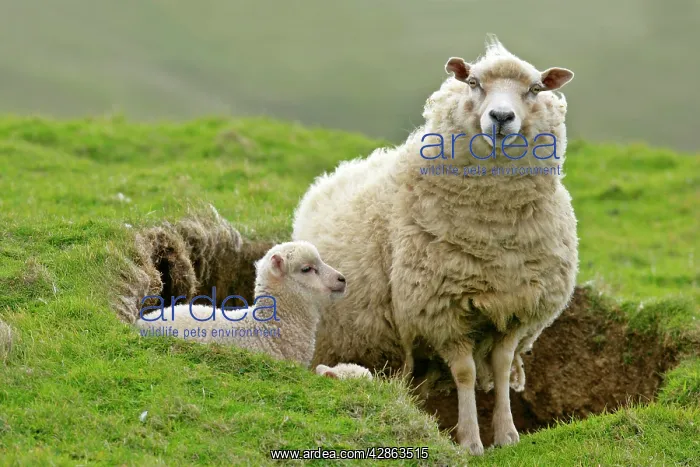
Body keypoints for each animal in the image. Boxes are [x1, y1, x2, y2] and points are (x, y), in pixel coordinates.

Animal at [292, 34, 578, 455]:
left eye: (535, 88)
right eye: (474, 83)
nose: (501, 117)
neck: (494, 233)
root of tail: (335, 174)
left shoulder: (516, 306)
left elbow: (501, 366)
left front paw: (507, 435)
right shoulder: (441, 311)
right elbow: (465, 373)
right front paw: (470, 441)